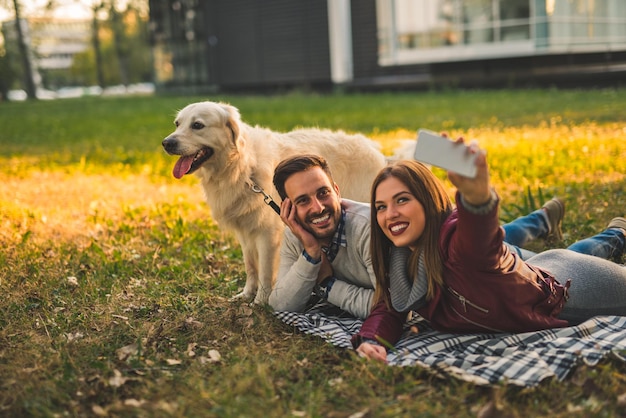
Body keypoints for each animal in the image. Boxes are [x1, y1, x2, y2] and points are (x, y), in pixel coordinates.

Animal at [161, 100, 386, 304]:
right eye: (177, 124)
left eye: (197, 125)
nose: (167, 143)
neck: (241, 168)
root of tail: (377, 152)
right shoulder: (245, 232)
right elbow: (251, 267)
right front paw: (246, 295)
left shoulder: (267, 235)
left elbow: (265, 272)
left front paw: (260, 303)